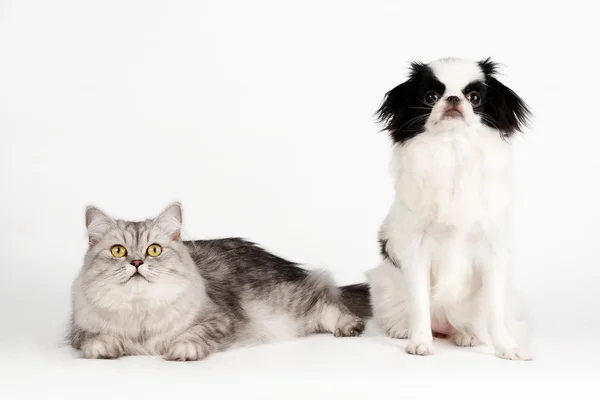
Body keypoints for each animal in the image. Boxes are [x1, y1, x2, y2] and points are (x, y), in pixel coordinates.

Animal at [68, 202, 372, 360]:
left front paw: (183, 350)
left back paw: (348, 325)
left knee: (326, 297)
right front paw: (106, 348)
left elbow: (194, 334)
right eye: (118, 251)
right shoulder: (79, 328)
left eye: (153, 250)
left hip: (288, 302)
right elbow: (93, 339)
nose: (136, 263)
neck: (141, 313)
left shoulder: (219, 319)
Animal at [368, 57, 532, 360]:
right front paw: (420, 342)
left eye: (474, 97)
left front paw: (507, 348)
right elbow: (419, 303)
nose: (454, 99)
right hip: (385, 284)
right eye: (431, 97)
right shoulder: (416, 251)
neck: (453, 150)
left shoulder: (492, 252)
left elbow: (494, 309)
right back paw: (402, 328)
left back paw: (465, 335)